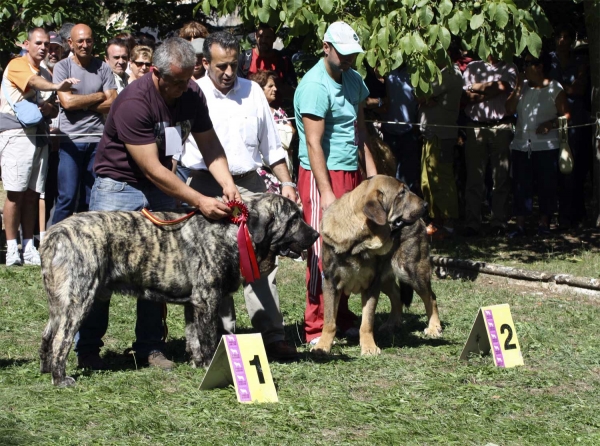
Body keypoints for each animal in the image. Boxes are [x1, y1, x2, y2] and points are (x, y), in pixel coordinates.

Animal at [38, 195, 318, 386]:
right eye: (294, 219)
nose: (315, 234)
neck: (236, 231)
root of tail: (53, 233)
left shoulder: (193, 304)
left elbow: (193, 337)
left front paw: (197, 363)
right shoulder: (207, 299)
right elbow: (208, 337)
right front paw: (209, 364)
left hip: (59, 302)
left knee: (47, 335)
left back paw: (45, 370)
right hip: (78, 298)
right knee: (61, 340)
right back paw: (61, 378)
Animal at [314, 174, 440, 356]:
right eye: (401, 193)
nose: (425, 205)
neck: (359, 240)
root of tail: (422, 222)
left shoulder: (372, 285)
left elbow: (367, 321)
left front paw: (369, 347)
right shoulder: (331, 283)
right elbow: (330, 321)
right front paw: (322, 346)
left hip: (412, 272)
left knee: (430, 297)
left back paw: (434, 327)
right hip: (387, 278)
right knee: (397, 295)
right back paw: (392, 324)